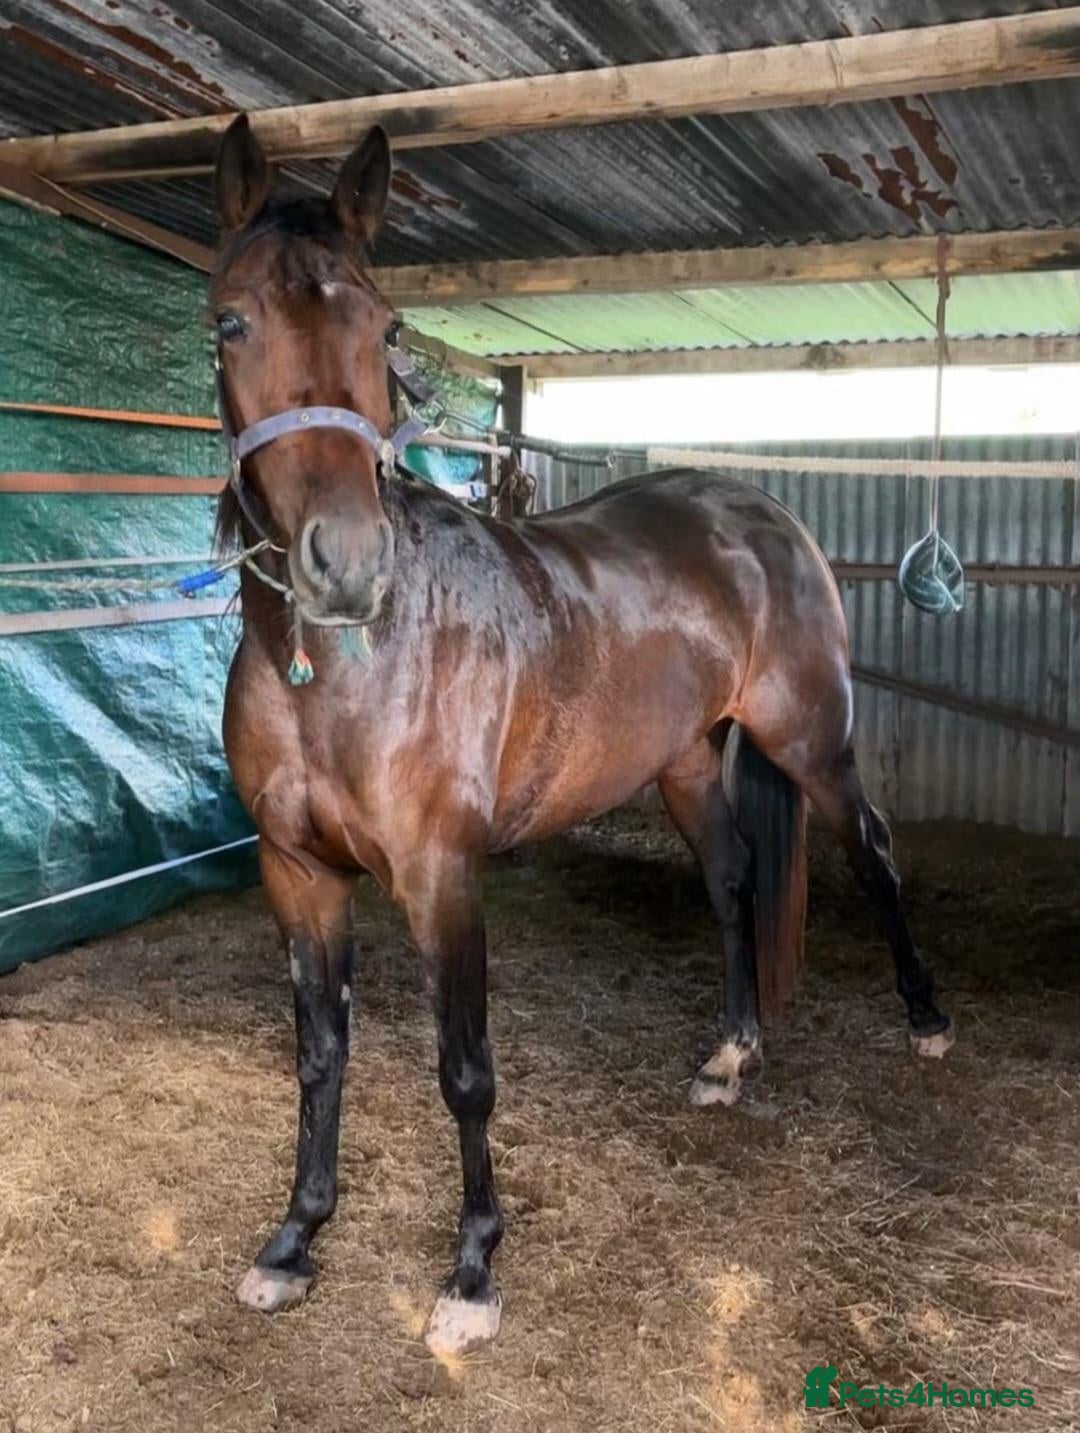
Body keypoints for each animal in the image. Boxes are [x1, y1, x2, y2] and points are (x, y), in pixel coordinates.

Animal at [209, 114, 953, 1358]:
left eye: (387, 326)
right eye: (232, 319)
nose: (345, 564)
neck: (343, 664)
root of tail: (761, 514)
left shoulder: (443, 876)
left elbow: (465, 1070)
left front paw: (472, 1273)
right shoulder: (296, 871)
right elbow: (318, 1054)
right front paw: (293, 1241)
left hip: (812, 738)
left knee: (876, 851)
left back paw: (928, 1018)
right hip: (690, 760)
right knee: (733, 881)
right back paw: (730, 1053)